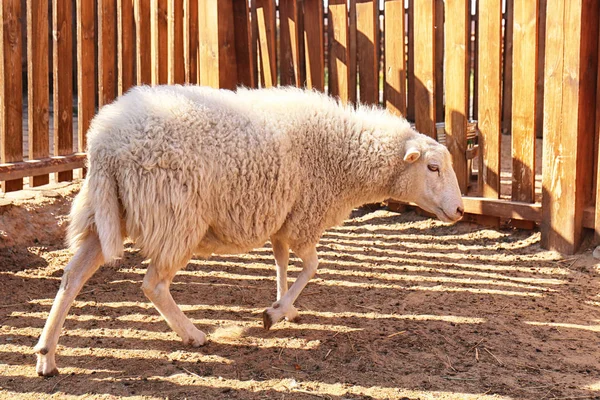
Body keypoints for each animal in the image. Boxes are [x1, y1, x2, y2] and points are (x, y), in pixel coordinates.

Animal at [32, 84, 464, 376]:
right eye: (433, 167)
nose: (460, 210)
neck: (347, 156)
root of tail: (103, 143)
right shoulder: (305, 218)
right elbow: (312, 266)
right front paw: (274, 313)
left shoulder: (285, 218)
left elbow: (282, 262)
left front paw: (284, 307)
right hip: (176, 216)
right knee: (153, 284)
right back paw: (193, 334)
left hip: (107, 213)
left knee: (71, 276)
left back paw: (46, 356)